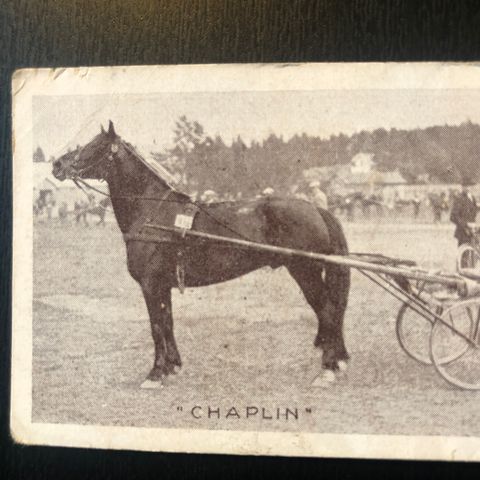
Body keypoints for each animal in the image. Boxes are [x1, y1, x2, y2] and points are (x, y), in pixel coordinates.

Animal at [52, 122, 350, 388]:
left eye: (94, 146)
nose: (57, 164)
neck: (152, 214)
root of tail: (315, 208)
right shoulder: (163, 285)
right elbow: (168, 323)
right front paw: (172, 366)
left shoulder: (150, 284)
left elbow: (156, 327)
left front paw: (154, 374)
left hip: (305, 271)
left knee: (328, 311)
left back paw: (327, 370)